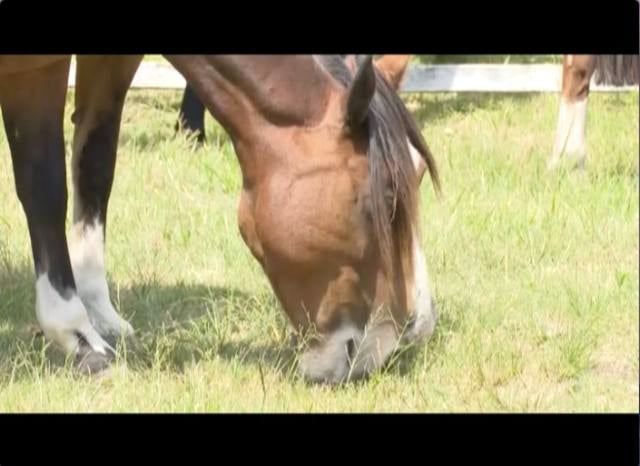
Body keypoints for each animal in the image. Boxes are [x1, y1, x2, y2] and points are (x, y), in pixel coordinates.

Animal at [0, 54, 440, 384]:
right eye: (386, 199)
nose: (408, 334)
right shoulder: (35, 71)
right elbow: (44, 188)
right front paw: (78, 337)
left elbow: (94, 166)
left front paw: (99, 312)